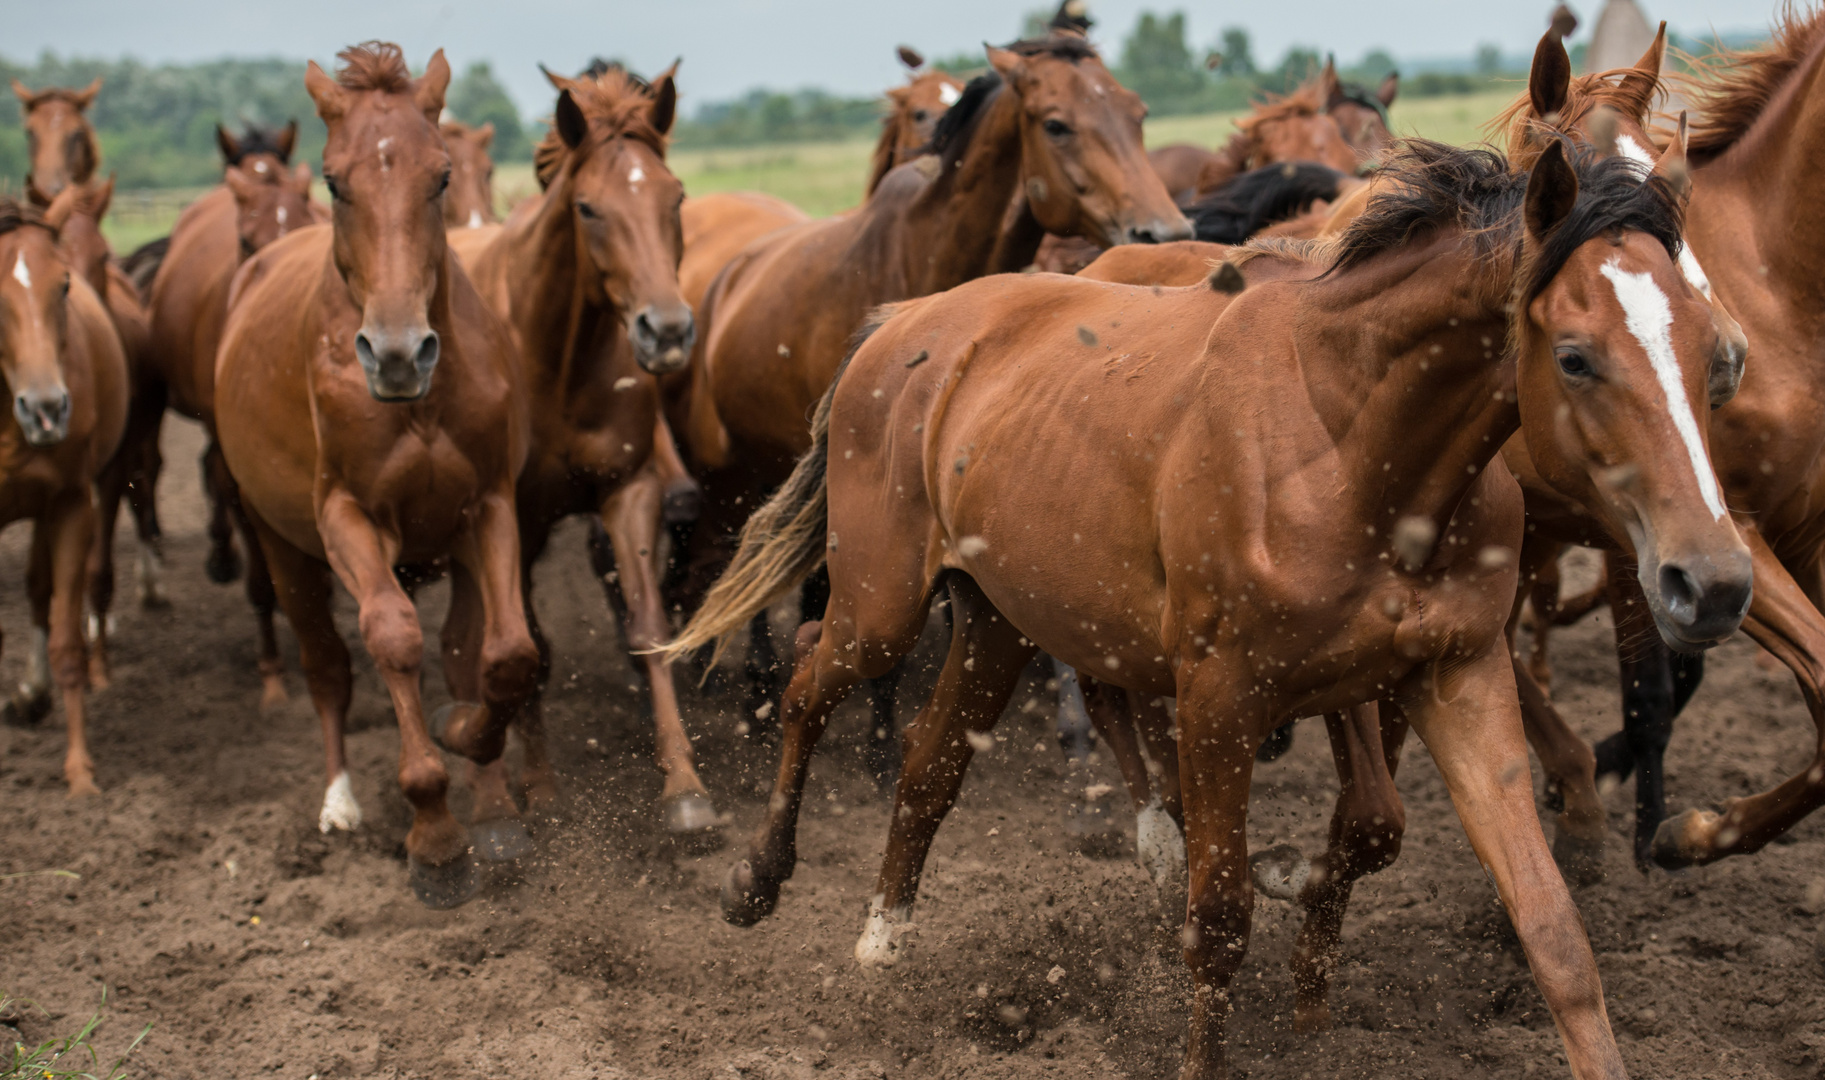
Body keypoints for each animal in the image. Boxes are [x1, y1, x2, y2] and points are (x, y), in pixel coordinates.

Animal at [214, 42, 536, 908]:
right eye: (333, 181)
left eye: (441, 176)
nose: (396, 354)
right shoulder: (346, 517)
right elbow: (390, 637)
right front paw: (434, 835)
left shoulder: (485, 505)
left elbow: (505, 654)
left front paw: (473, 751)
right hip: (280, 543)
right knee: (326, 666)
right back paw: (340, 802)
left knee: (462, 650)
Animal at [448, 61, 719, 842]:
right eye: (589, 209)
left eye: (675, 196)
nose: (667, 331)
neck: (556, 359)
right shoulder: (515, 518)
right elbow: (526, 650)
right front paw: (534, 790)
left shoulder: (629, 492)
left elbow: (648, 627)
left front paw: (684, 787)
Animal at [667, 136, 1737, 1080]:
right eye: (1575, 356)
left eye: (1711, 356)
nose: (1713, 579)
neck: (1343, 439)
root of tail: (902, 322)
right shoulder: (1222, 699)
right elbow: (1219, 917)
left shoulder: (1457, 674)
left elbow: (1544, 922)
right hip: (883, 602)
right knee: (808, 674)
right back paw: (754, 879)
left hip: (1000, 624)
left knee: (930, 763)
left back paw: (885, 936)